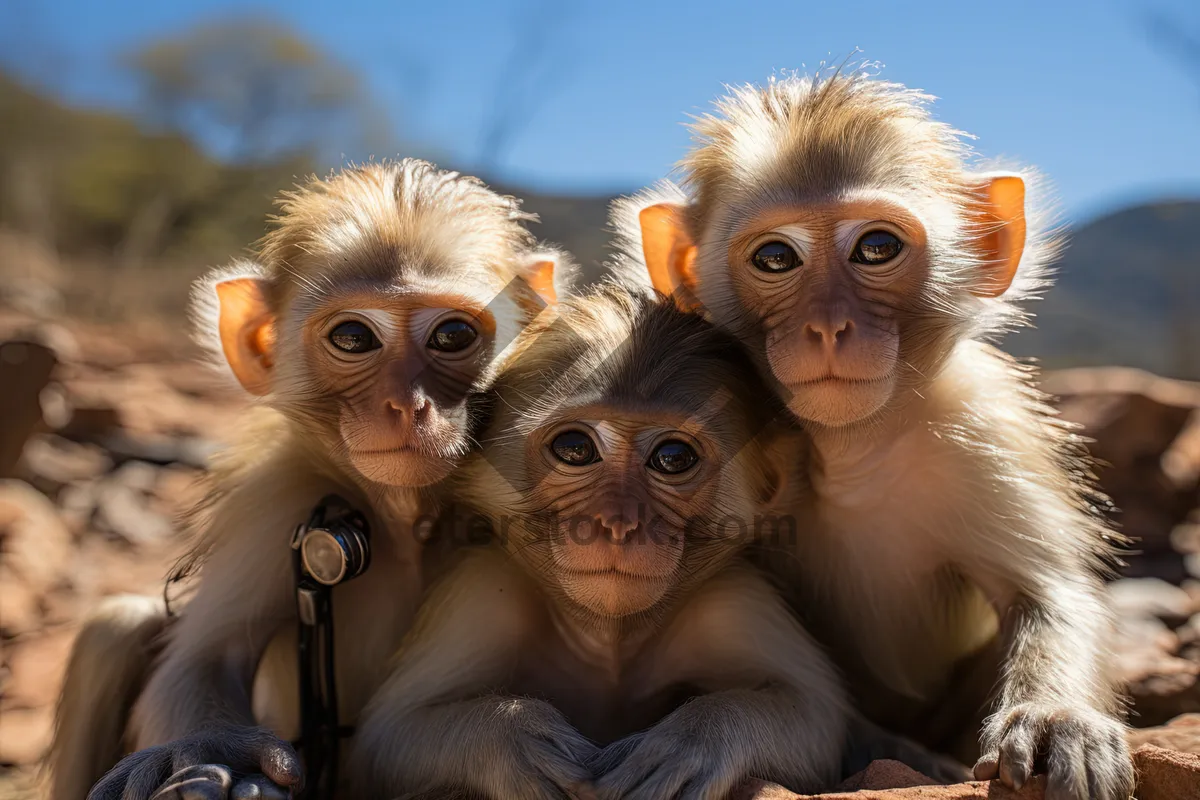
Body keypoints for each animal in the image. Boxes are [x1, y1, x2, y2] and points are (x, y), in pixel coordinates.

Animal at [57, 160, 576, 800]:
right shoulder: (282, 500)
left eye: (452, 335)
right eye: (353, 338)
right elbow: (205, 661)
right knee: (117, 628)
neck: (408, 519)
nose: (408, 405)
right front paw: (206, 755)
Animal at [619, 73, 1132, 800]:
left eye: (877, 248)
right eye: (775, 257)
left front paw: (1060, 718)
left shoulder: (984, 426)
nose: (828, 326)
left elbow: (1048, 591)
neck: (855, 451)